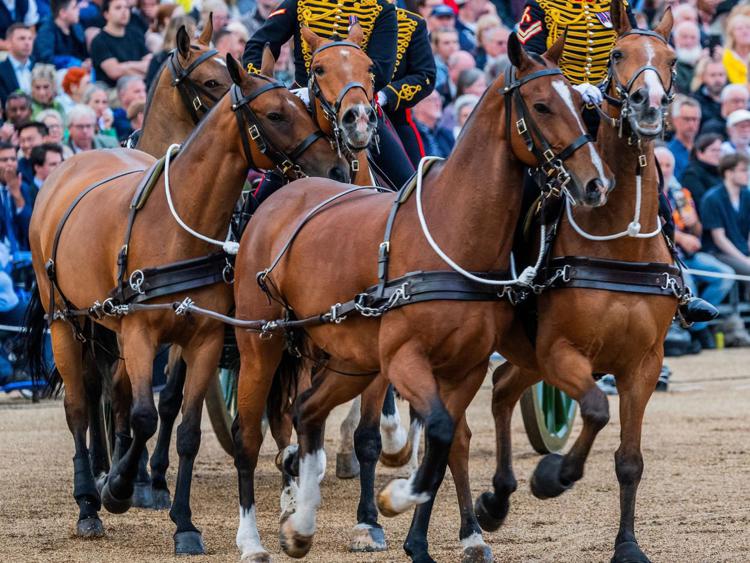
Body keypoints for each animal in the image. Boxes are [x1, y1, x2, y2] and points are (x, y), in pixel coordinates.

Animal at [23, 55, 350, 556]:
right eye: (275, 114)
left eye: (303, 105)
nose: (336, 170)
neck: (176, 226)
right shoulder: (139, 333)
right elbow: (142, 415)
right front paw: (119, 488)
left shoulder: (205, 339)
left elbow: (187, 429)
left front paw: (184, 524)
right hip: (64, 320)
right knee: (79, 405)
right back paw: (89, 501)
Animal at [232, 33, 612, 560]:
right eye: (540, 105)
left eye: (581, 104)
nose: (595, 182)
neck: (454, 234)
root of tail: (280, 200)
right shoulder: (404, 359)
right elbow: (432, 432)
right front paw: (392, 503)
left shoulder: (465, 367)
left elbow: (447, 438)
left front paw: (438, 530)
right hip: (260, 345)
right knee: (249, 434)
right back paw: (252, 537)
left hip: (348, 360)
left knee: (306, 411)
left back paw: (302, 523)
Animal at [478, 5, 684, 563]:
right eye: (618, 54)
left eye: (671, 59)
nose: (648, 105)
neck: (623, 242)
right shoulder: (561, 352)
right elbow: (594, 408)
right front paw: (553, 477)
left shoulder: (642, 365)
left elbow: (629, 459)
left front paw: (628, 545)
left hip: (528, 356)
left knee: (502, 389)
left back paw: (496, 500)